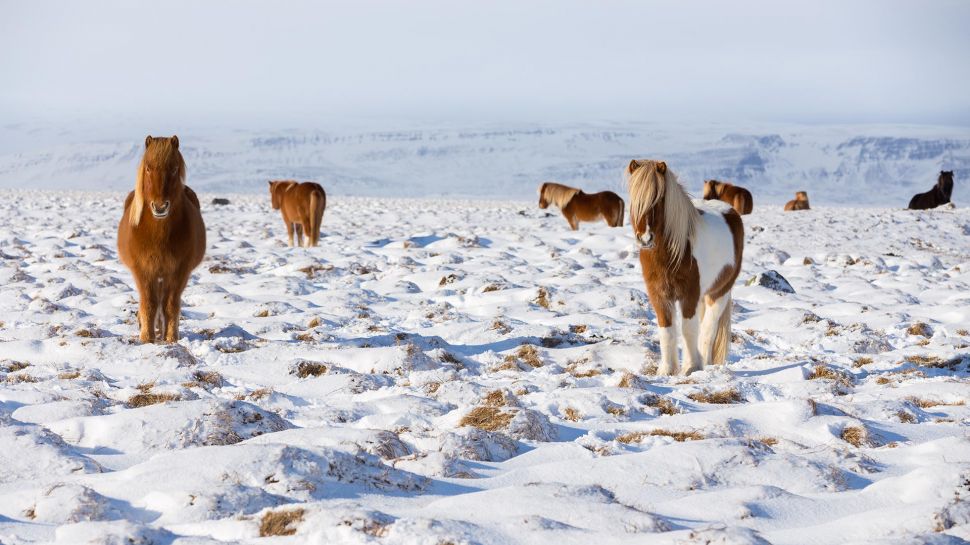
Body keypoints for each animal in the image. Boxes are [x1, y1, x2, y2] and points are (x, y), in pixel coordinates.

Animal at [118, 134, 207, 342]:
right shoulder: (142, 270)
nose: (160, 207)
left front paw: (171, 337)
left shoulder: (179, 271)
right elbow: (149, 303)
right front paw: (147, 337)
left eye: (174, 169)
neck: (158, 235)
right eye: (148, 168)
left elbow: (170, 304)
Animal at [624, 159, 744, 376]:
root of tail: (730, 210)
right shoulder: (659, 295)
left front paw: (691, 367)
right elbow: (666, 330)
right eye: (634, 198)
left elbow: (689, 330)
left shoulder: (689, 294)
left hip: (719, 292)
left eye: (659, 198)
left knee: (708, 329)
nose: (645, 239)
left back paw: (704, 361)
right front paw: (667, 370)